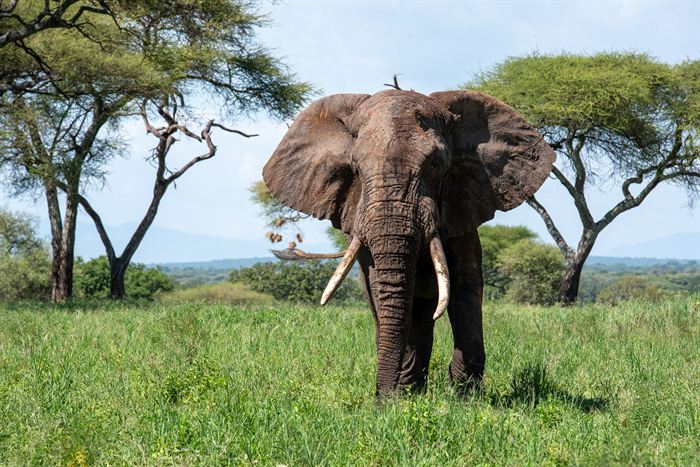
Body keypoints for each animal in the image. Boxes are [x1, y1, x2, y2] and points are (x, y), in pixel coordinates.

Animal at [262, 89, 555, 397]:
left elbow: (464, 285)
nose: (380, 400)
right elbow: (381, 287)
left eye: (436, 165)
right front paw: (402, 397)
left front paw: (465, 397)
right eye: (356, 168)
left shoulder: (463, 203)